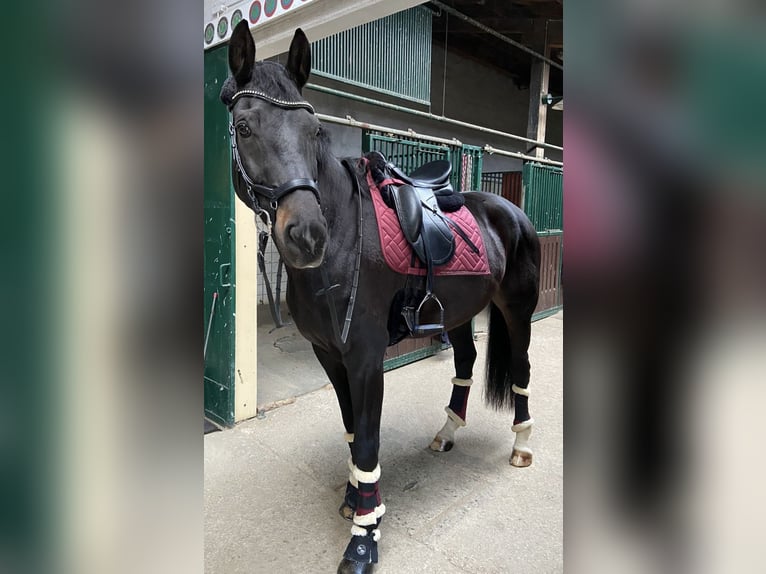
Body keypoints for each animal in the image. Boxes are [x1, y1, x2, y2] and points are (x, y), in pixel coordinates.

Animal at [222, 20, 544, 572]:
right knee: (465, 361)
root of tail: (511, 209)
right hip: (457, 314)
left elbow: (369, 442)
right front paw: (356, 501)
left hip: (517, 309)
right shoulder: (330, 355)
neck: (342, 244)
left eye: (315, 131)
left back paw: (521, 445)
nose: (308, 235)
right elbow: (353, 431)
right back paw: (447, 432)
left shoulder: (368, 358)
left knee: (520, 366)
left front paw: (363, 537)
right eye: (244, 127)